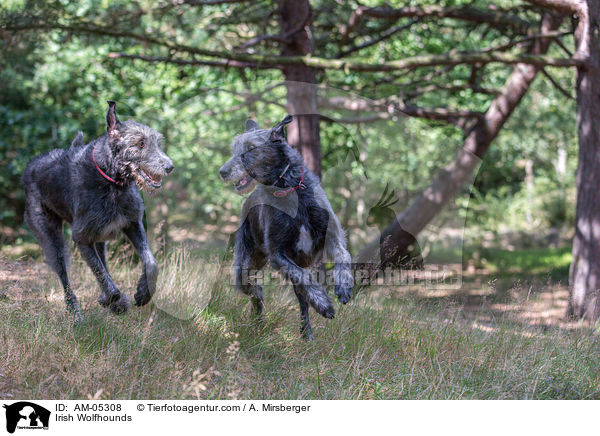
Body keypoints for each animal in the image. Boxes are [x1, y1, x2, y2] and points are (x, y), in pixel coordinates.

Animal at [22, 100, 173, 322]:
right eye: (140, 144)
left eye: (157, 142)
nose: (170, 166)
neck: (110, 179)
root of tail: (30, 166)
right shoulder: (82, 238)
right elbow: (102, 275)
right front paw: (112, 299)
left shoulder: (132, 223)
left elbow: (150, 262)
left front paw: (143, 292)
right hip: (50, 235)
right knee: (64, 273)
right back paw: (74, 309)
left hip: (101, 236)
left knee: (102, 261)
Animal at [219, 115, 352, 340]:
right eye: (234, 148)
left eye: (251, 148)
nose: (222, 172)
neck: (290, 190)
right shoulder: (278, 254)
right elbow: (304, 277)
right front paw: (324, 304)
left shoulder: (333, 236)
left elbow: (344, 255)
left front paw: (343, 287)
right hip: (246, 263)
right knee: (255, 288)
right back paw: (260, 317)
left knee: (302, 300)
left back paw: (306, 333)